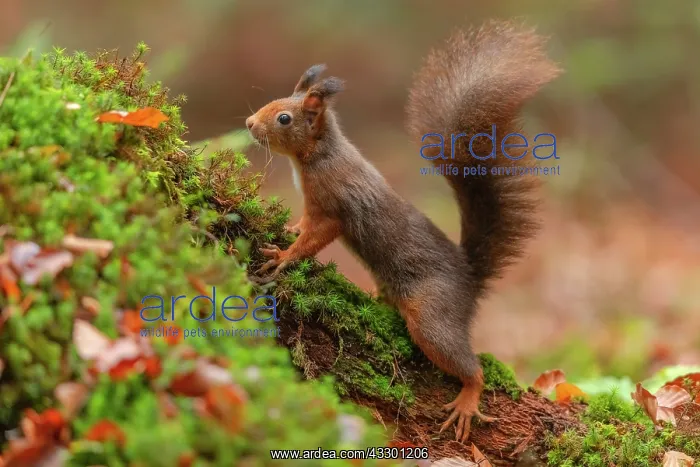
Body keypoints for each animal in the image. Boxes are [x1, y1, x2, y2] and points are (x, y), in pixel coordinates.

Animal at [245, 20, 561, 442]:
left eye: (284, 118)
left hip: (431, 315)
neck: (318, 156)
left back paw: (467, 399)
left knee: (468, 364)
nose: (249, 124)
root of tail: (469, 280)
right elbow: (304, 225)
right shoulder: (313, 206)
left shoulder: (333, 207)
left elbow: (316, 237)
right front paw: (290, 228)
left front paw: (284, 256)